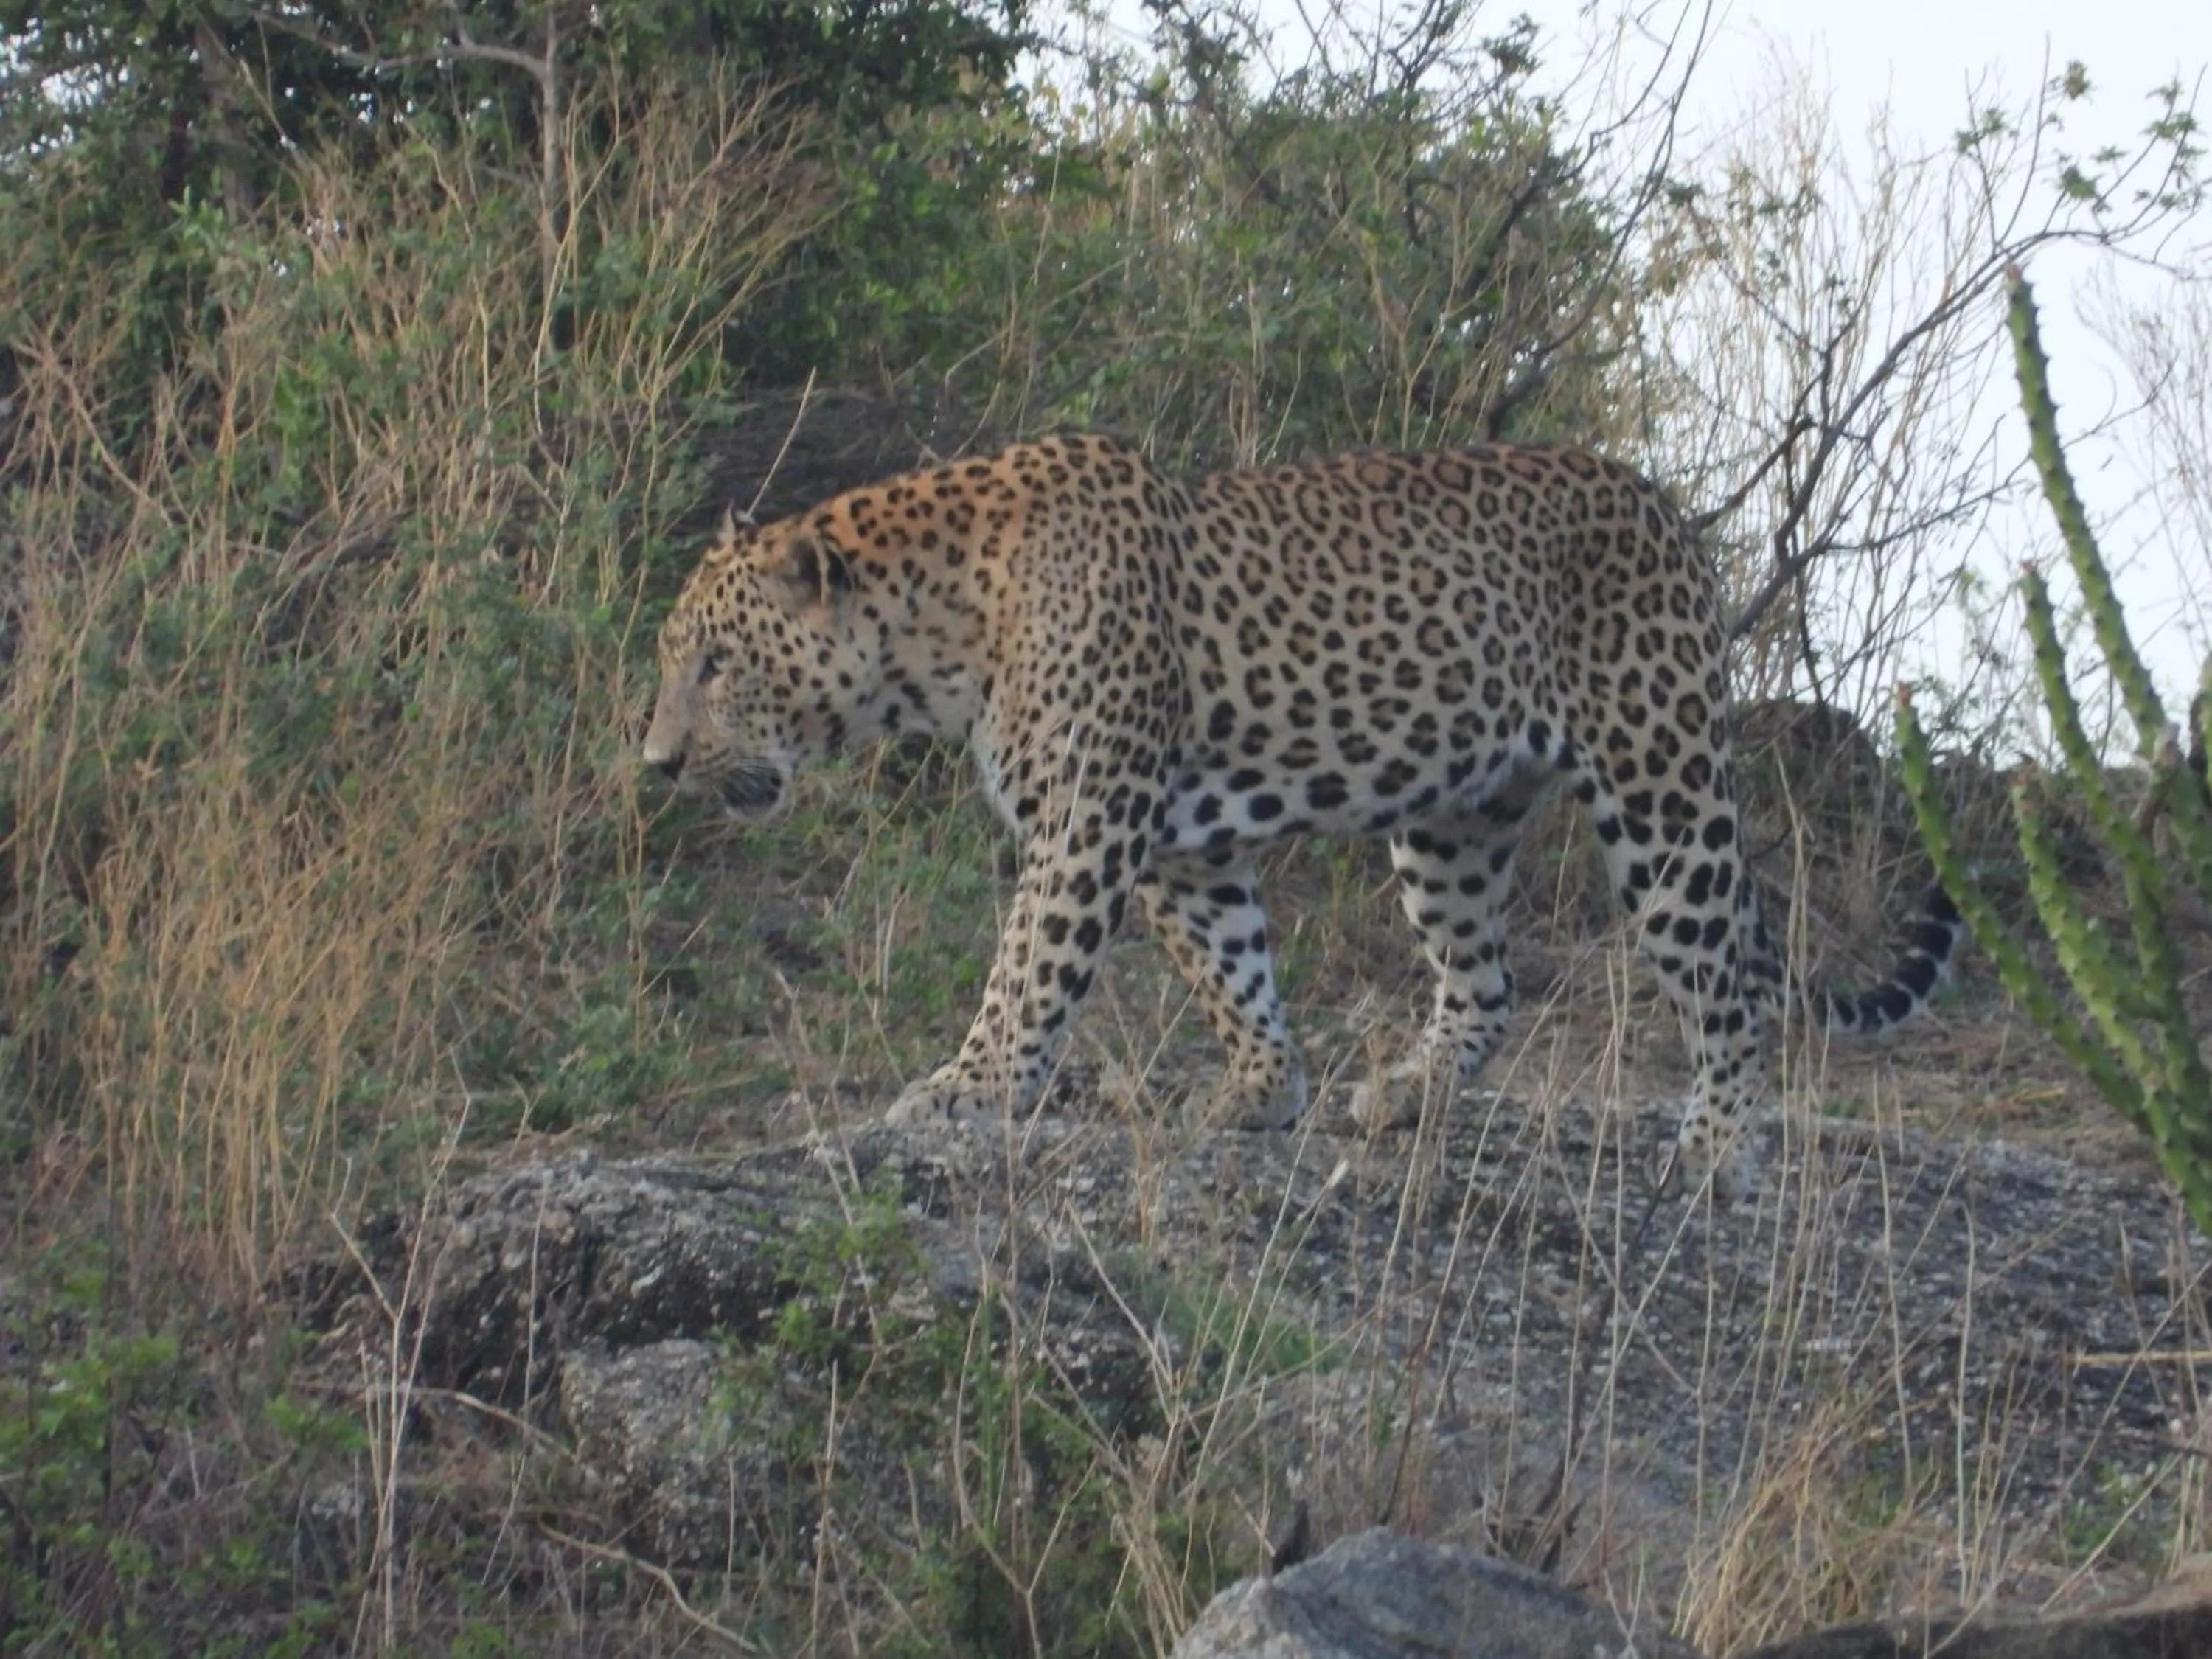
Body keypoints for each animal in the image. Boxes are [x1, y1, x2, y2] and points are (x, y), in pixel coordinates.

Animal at [642, 431, 1962, 1197]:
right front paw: (1264, 1092)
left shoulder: (1090, 821)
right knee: (1488, 980)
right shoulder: (1176, 848)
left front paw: (969, 1087)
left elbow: (1027, 967)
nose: (655, 762)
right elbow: (1233, 970)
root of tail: (1664, 507)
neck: (941, 631)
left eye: (714, 662)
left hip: (1660, 778)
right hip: (1453, 815)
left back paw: (1718, 1148)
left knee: (1724, 981)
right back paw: (1408, 1092)